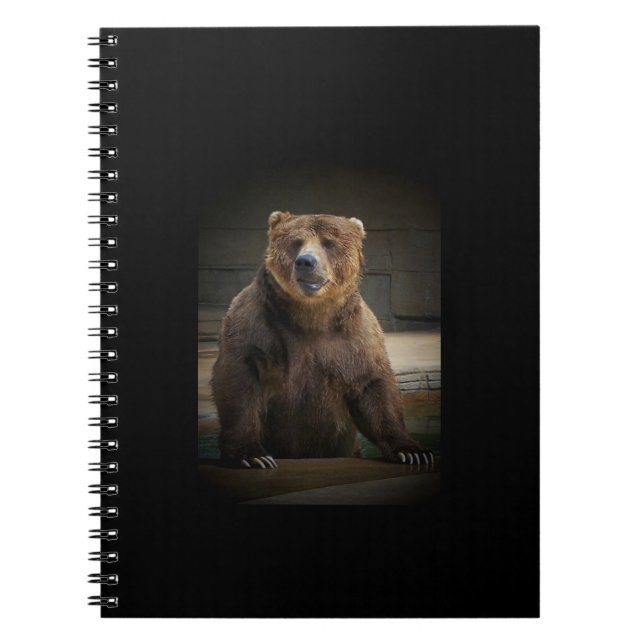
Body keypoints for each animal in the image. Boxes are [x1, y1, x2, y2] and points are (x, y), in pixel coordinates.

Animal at [211, 211, 433, 469]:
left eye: (329, 242)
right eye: (296, 241)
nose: (305, 262)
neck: (312, 315)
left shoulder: (356, 338)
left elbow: (373, 386)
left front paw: (412, 451)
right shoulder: (256, 327)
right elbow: (239, 381)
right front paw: (253, 456)